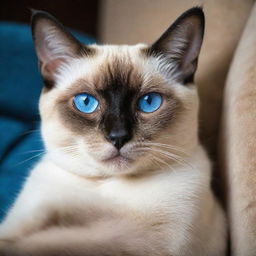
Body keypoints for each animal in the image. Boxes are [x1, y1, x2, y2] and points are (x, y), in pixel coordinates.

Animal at [0, 7, 226, 255]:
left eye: (149, 102)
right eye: (86, 102)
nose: (118, 137)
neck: (107, 185)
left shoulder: (146, 242)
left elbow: (55, 239)